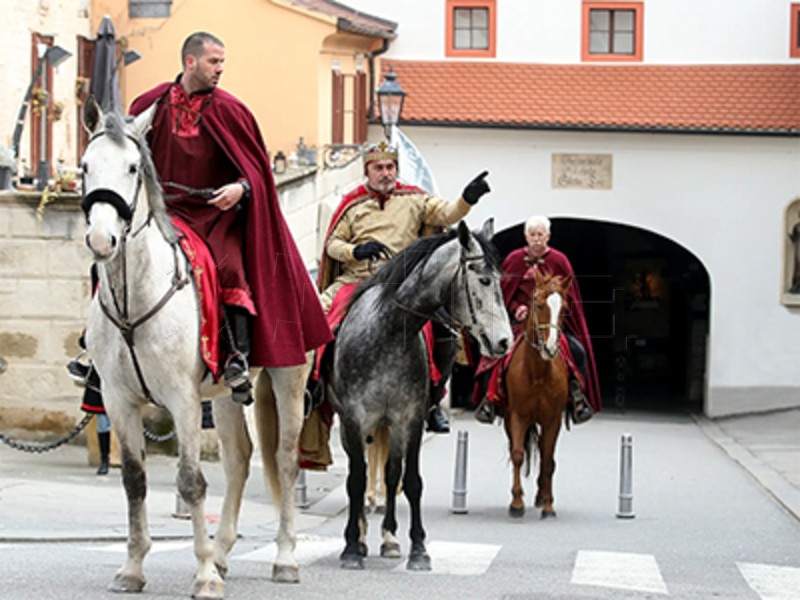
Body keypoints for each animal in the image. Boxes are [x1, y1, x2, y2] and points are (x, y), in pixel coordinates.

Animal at [506, 270, 568, 516]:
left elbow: (548, 461)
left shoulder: (553, 420)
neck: (538, 374)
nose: (550, 348)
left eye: (564, 308)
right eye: (539, 304)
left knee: (544, 453)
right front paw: (516, 503)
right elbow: (517, 454)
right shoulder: (517, 416)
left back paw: (542, 496)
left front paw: (549, 505)